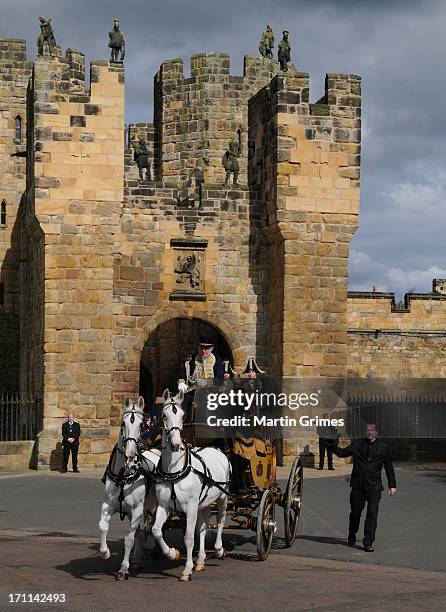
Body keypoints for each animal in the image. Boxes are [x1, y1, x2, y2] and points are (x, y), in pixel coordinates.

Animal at [99, 396, 160, 580]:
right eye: (122, 423)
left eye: (141, 424)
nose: (130, 453)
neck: (123, 474)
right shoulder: (109, 505)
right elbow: (102, 526)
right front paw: (104, 552)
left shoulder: (137, 509)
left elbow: (129, 539)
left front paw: (123, 568)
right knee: (141, 531)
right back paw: (139, 558)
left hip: (151, 505)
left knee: (149, 526)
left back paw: (149, 547)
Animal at [152, 390, 232, 580]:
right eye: (164, 415)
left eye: (182, 415)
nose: (175, 444)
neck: (174, 471)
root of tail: (216, 449)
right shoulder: (164, 505)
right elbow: (156, 530)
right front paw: (172, 553)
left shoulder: (191, 506)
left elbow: (189, 537)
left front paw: (186, 569)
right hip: (203, 503)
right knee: (202, 528)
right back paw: (201, 560)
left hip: (223, 496)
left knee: (220, 520)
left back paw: (219, 549)